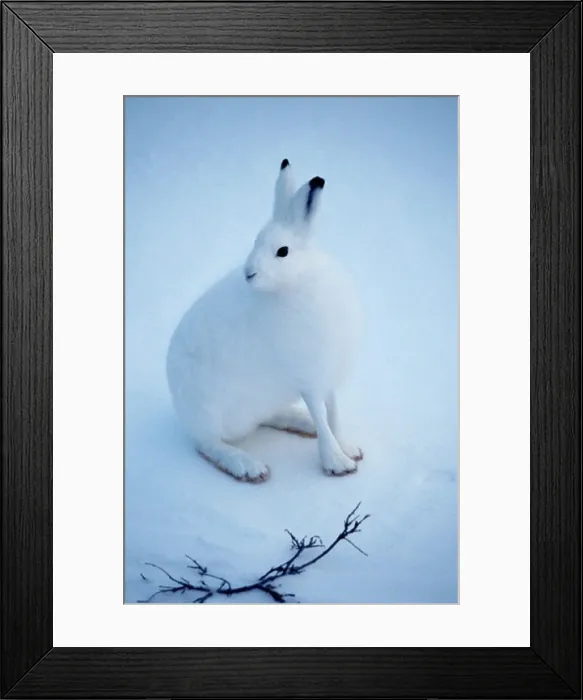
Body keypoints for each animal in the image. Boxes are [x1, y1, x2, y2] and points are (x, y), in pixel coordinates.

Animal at [166, 159, 363, 483]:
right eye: (254, 242)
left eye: (282, 251)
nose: (249, 273)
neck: (296, 282)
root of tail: (181, 410)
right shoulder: (307, 375)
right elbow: (323, 415)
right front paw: (337, 462)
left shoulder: (327, 374)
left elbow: (333, 413)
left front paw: (348, 448)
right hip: (209, 407)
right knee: (207, 444)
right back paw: (247, 466)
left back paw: (300, 423)